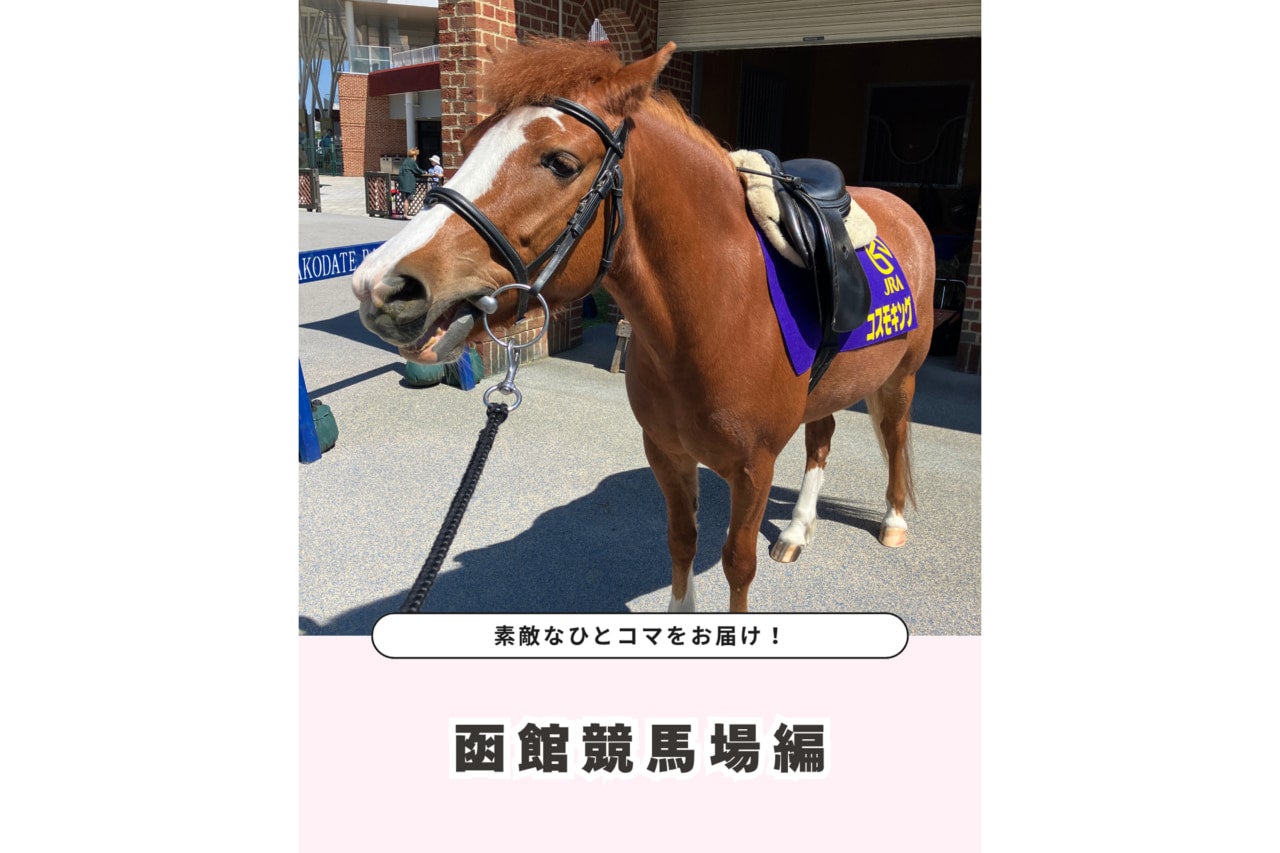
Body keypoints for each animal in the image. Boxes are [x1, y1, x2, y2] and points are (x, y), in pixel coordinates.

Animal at [351, 39, 936, 613]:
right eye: (469, 143)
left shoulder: (754, 469)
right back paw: (796, 530)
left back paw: (893, 521)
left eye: (561, 162)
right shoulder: (666, 453)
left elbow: (738, 564)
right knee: (822, 438)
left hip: (901, 378)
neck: (718, 313)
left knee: (895, 435)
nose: (379, 286)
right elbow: (681, 541)